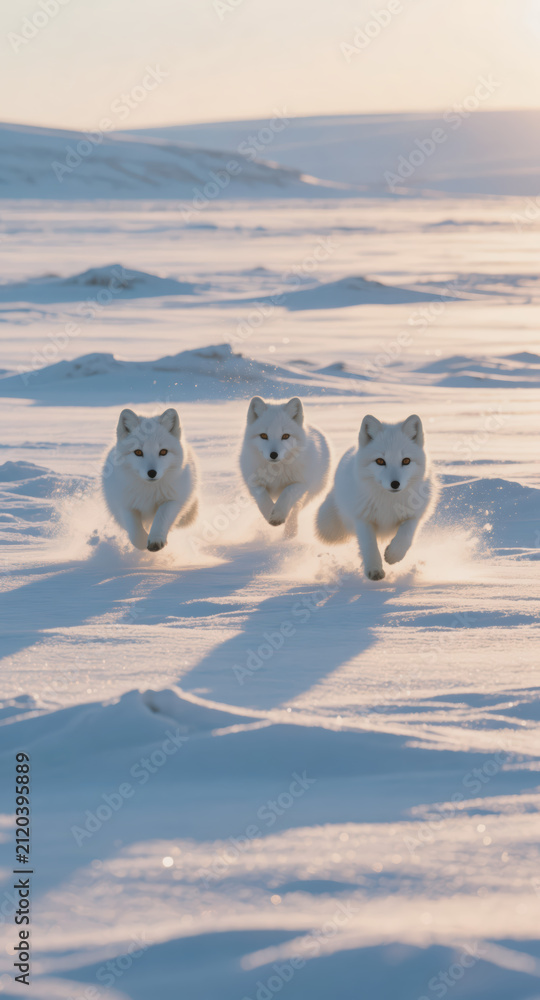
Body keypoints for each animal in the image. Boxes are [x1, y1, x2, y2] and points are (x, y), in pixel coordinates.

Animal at [102, 408, 198, 552]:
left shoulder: (173, 500)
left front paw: (155, 540)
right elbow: (135, 531)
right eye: (138, 452)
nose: (152, 473)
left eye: (163, 452)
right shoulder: (125, 504)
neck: (149, 490)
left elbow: (161, 517)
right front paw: (142, 542)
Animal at [240, 396, 331, 538]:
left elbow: (287, 493)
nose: (273, 454)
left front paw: (278, 516)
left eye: (285, 436)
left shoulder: (301, 483)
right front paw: (269, 513)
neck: (276, 470)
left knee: (295, 510)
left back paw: (290, 533)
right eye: (263, 435)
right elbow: (262, 497)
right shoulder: (253, 482)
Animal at [316, 414, 436, 579]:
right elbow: (369, 546)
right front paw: (374, 570)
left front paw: (393, 555)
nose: (395, 484)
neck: (388, 501)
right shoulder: (362, 518)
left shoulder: (414, 515)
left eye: (406, 461)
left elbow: (406, 536)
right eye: (380, 461)